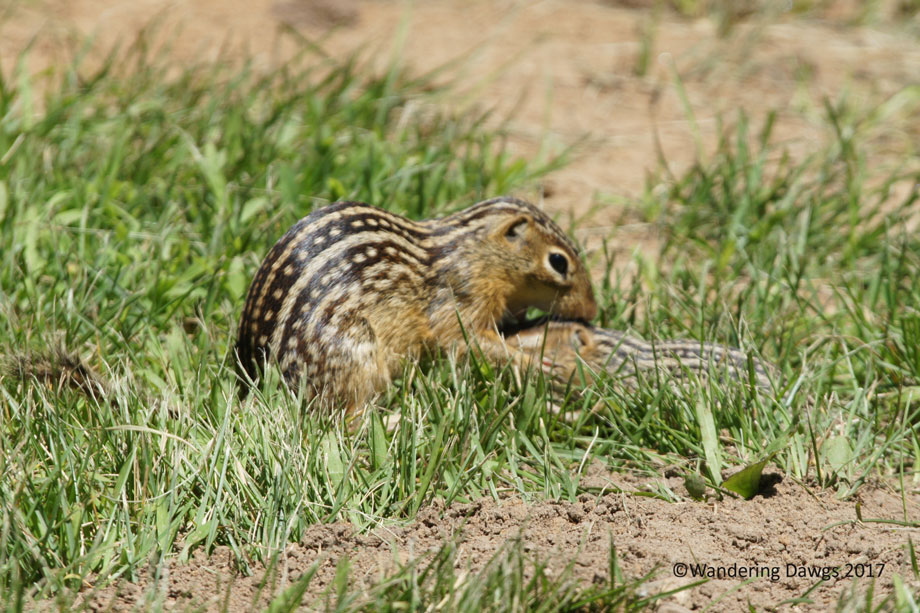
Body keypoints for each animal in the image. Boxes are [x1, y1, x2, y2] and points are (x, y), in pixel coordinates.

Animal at [234, 197, 597, 414]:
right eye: (558, 262)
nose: (592, 311)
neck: (474, 253)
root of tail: (257, 383)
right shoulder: (459, 303)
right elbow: (470, 343)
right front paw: (536, 362)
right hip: (357, 361)